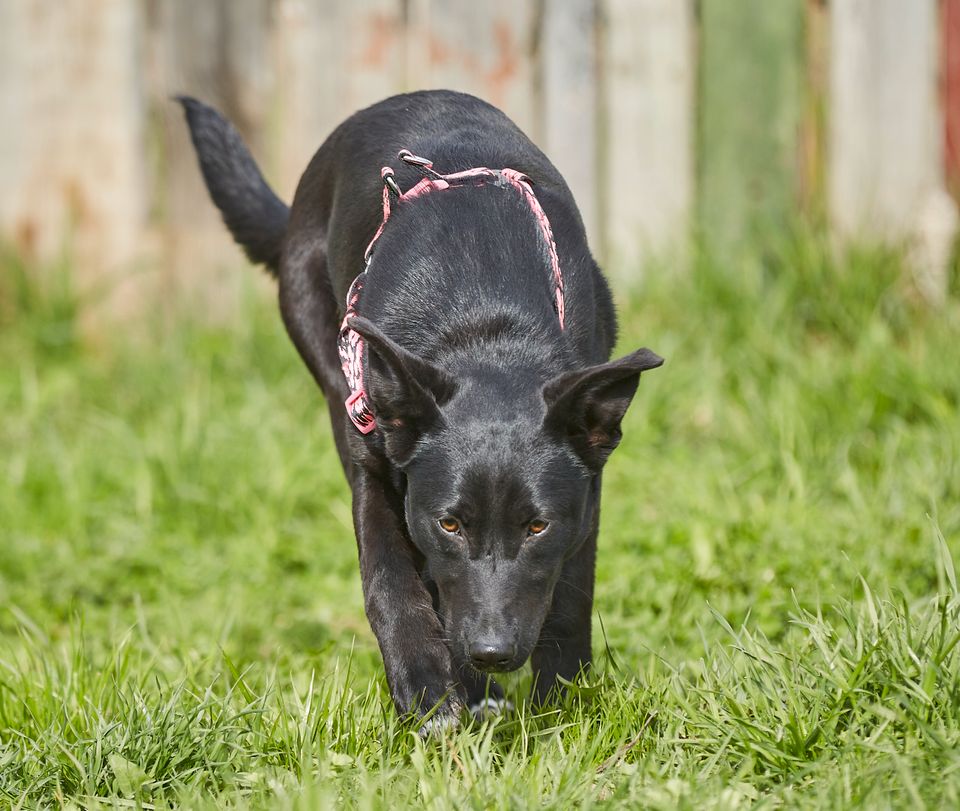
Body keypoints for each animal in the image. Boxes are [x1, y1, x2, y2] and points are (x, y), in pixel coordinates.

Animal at [178, 92, 660, 732]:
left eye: (537, 527)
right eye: (450, 524)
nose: (491, 652)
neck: (485, 326)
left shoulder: (587, 491)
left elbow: (571, 592)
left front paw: (563, 702)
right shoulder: (377, 467)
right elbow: (389, 581)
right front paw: (428, 689)